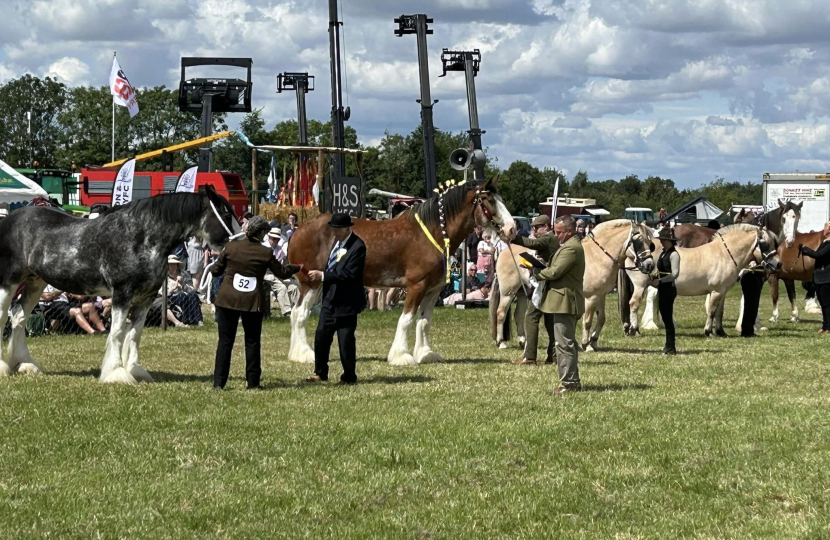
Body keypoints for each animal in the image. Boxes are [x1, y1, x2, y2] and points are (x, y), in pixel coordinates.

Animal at [0, 186, 240, 384]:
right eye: (227, 214)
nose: (240, 243)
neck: (140, 236)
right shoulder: (121, 294)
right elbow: (116, 332)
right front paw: (116, 373)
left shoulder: (146, 298)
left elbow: (134, 334)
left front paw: (135, 370)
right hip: (8, 282)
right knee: (5, 316)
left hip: (34, 282)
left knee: (19, 316)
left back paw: (25, 364)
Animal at [290, 179, 516, 364]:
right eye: (489, 201)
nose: (512, 228)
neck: (433, 232)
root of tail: (298, 230)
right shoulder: (417, 286)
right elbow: (407, 319)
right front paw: (401, 356)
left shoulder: (432, 290)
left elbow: (424, 321)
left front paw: (425, 354)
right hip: (311, 282)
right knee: (300, 313)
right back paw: (305, 354)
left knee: (296, 312)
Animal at [488, 219, 656, 350]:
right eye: (639, 242)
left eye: (650, 243)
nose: (649, 266)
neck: (599, 256)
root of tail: (503, 251)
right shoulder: (591, 297)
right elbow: (587, 321)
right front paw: (586, 344)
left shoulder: (601, 295)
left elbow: (601, 318)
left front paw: (594, 341)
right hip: (508, 292)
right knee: (501, 313)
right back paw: (500, 342)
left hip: (523, 293)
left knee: (518, 315)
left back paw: (523, 341)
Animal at [632, 225, 788, 336]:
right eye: (765, 244)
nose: (779, 264)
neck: (725, 254)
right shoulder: (716, 291)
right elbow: (712, 311)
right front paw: (708, 332)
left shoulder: (723, 291)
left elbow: (720, 312)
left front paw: (721, 332)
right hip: (640, 286)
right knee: (634, 304)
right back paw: (635, 330)